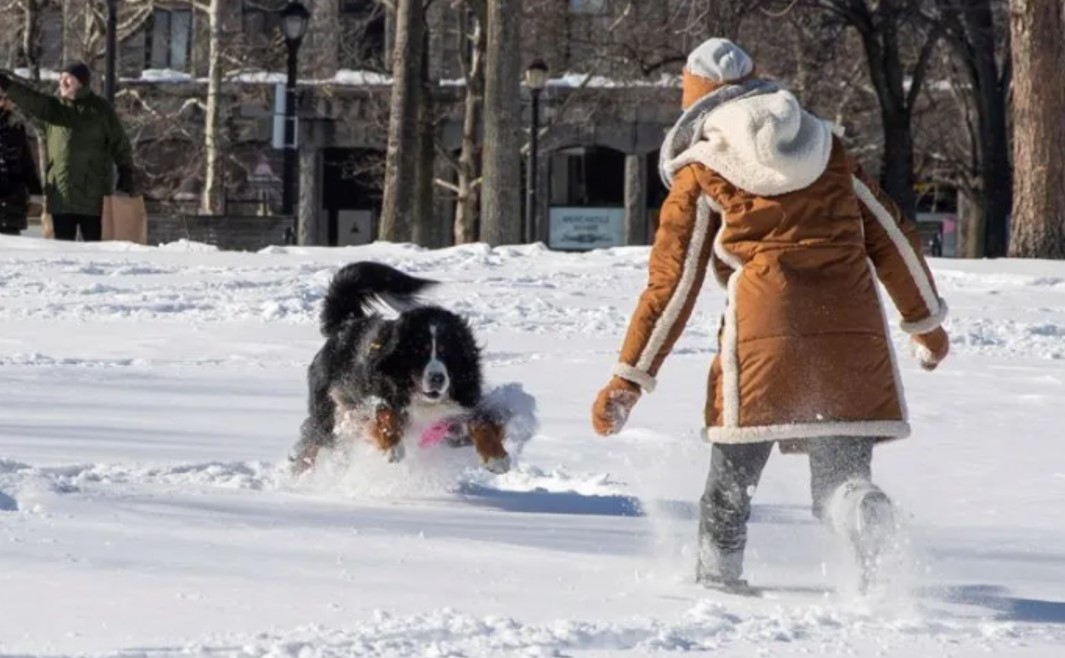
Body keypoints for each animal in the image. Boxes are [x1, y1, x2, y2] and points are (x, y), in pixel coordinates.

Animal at [289, 264, 509, 474]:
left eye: (447, 352)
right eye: (419, 351)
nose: (437, 378)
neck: (423, 401)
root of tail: (347, 324)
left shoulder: (458, 412)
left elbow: (483, 422)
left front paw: (497, 458)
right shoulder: (367, 400)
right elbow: (384, 410)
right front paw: (391, 444)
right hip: (326, 413)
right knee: (310, 444)